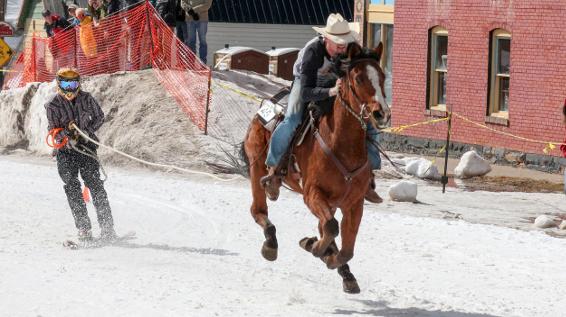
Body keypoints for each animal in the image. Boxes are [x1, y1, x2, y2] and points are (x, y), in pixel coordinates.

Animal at [242, 42, 392, 294]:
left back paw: (342, 270)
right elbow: (331, 227)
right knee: (258, 210)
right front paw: (314, 247)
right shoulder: (312, 193)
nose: (381, 113)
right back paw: (271, 242)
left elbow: (346, 247)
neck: (341, 144)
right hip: (256, 167)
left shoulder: (354, 203)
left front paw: (329, 257)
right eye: (358, 77)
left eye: (382, 76)